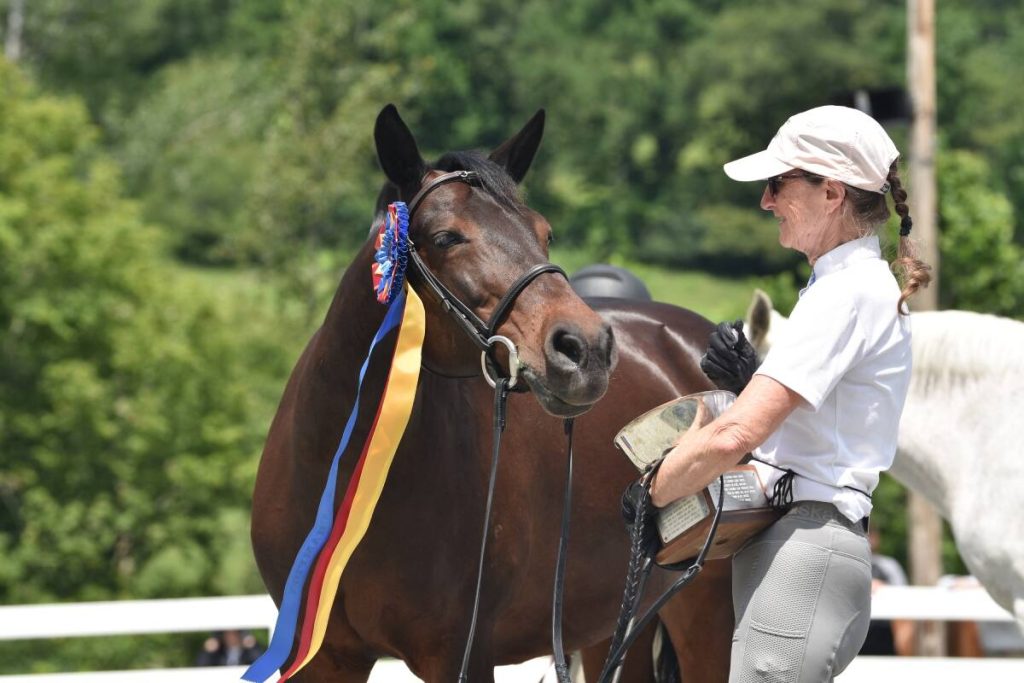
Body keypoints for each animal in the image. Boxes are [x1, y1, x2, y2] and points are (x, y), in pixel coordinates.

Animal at [249, 104, 737, 679]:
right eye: (445, 238)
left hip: (705, 610)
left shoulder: (462, 653)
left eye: (545, 233)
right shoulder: (325, 656)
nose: (586, 349)